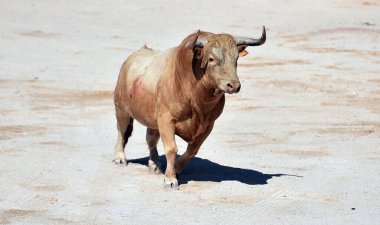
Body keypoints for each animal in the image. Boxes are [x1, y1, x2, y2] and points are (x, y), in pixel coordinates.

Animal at [113, 26, 268, 189]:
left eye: (236, 58)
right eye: (211, 59)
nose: (233, 86)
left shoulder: (208, 125)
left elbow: (192, 150)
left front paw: (175, 169)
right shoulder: (166, 119)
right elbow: (171, 148)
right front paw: (170, 179)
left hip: (152, 119)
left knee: (151, 139)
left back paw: (154, 165)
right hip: (121, 110)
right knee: (121, 131)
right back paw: (120, 158)